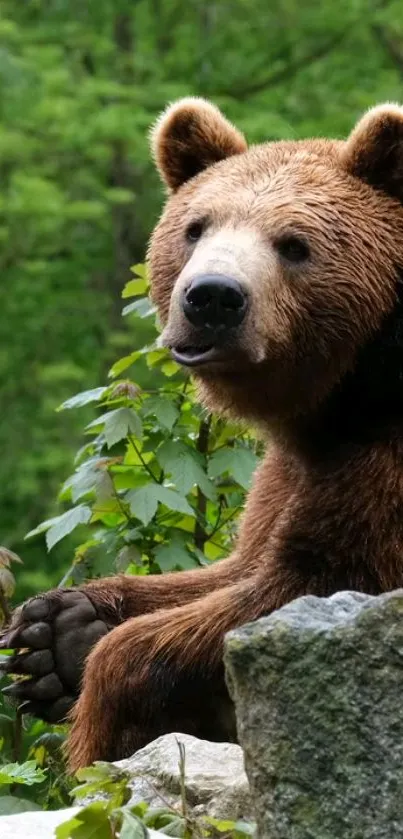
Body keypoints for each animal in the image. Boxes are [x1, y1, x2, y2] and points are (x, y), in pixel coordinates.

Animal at [2, 98, 403, 776]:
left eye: (294, 245)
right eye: (196, 227)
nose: (211, 298)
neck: (349, 392)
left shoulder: (383, 468)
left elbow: (309, 584)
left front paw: (102, 707)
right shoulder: (290, 468)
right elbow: (237, 565)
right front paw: (54, 633)